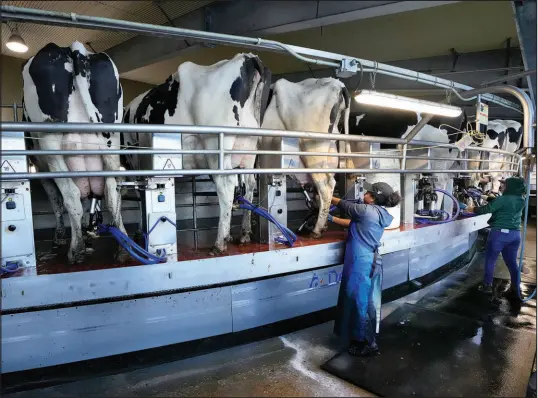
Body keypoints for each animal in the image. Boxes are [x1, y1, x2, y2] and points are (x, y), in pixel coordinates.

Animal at [21, 41, 126, 264]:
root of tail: (72, 47)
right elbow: (87, 201)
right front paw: (87, 234)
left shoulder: (41, 170)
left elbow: (57, 201)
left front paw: (60, 238)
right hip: (111, 140)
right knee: (112, 191)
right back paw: (121, 248)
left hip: (50, 144)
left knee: (71, 195)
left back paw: (75, 250)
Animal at [123, 52, 270, 255]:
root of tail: (246, 57)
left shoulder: (135, 161)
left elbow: (139, 196)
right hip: (248, 149)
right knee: (249, 185)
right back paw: (244, 233)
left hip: (216, 145)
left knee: (227, 185)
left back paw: (220, 242)